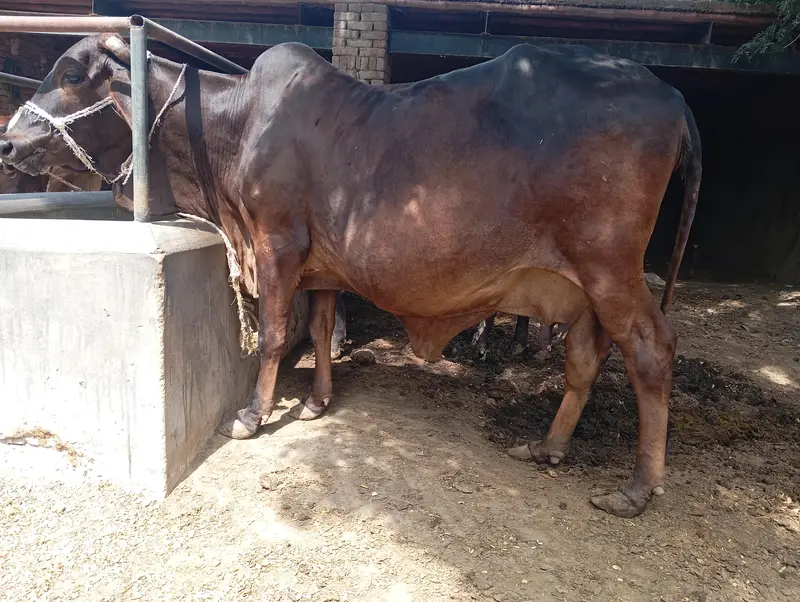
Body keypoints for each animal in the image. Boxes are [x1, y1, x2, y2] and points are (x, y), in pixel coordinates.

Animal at [0, 34, 701, 518]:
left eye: (71, 73)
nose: (7, 142)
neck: (232, 126)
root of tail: (671, 97)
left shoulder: (277, 244)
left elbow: (276, 335)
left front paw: (253, 415)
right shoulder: (320, 265)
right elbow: (319, 324)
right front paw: (316, 402)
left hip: (610, 266)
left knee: (652, 351)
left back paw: (639, 487)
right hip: (585, 287)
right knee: (586, 359)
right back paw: (548, 446)